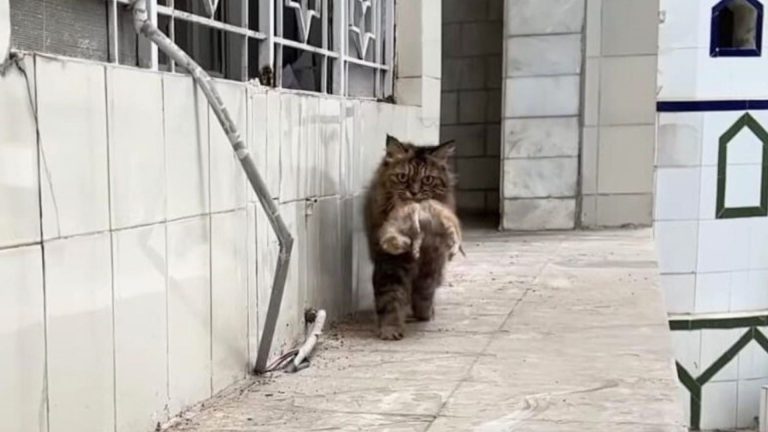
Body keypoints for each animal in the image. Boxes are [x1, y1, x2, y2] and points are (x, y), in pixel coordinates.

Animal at [364, 135, 460, 340]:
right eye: (403, 177)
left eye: (428, 179)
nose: (414, 192)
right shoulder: (390, 261)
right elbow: (390, 297)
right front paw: (390, 329)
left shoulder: (432, 259)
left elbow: (425, 290)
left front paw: (424, 314)